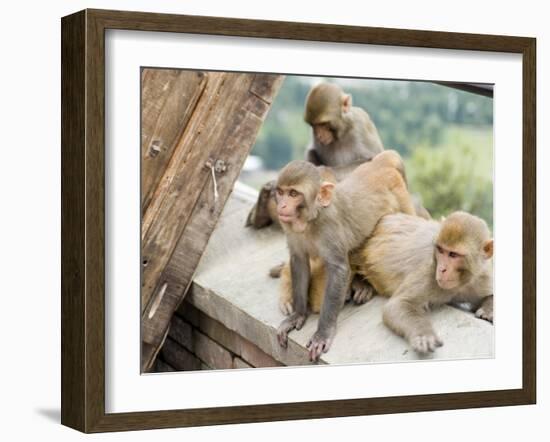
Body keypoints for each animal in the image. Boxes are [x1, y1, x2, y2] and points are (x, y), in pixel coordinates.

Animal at [246, 81, 384, 230]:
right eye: (314, 125)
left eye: (323, 124)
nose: (319, 135)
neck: (341, 133)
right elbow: (311, 152)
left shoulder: (361, 125)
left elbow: (372, 160)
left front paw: (322, 171)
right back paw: (261, 211)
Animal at [274, 150, 416, 360]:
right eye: (281, 192)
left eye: (293, 194)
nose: (282, 206)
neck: (311, 220)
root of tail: (380, 164)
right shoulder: (291, 230)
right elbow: (299, 261)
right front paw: (298, 315)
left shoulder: (330, 228)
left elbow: (338, 270)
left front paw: (323, 333)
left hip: (402, 198)